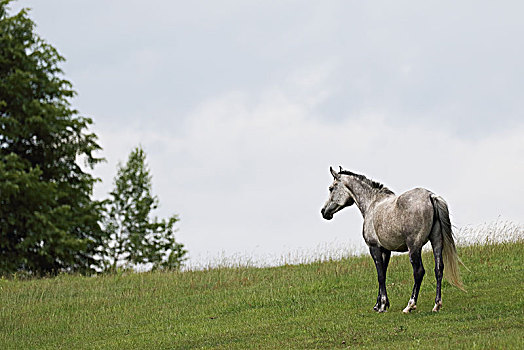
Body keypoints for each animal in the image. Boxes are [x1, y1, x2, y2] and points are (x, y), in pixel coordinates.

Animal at [320, 165, 462, 314]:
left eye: (331, 188)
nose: (324, 211)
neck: (372, 204)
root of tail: (430, 196)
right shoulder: (386, 250)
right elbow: (383, 273)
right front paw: (379, 305)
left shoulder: (374, 248)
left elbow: (380, 275)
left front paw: (382, 306)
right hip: (437, 242)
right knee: (438, 269)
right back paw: (437, 305)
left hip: (414, 247)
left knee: (419, 272)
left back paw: (410, 306)